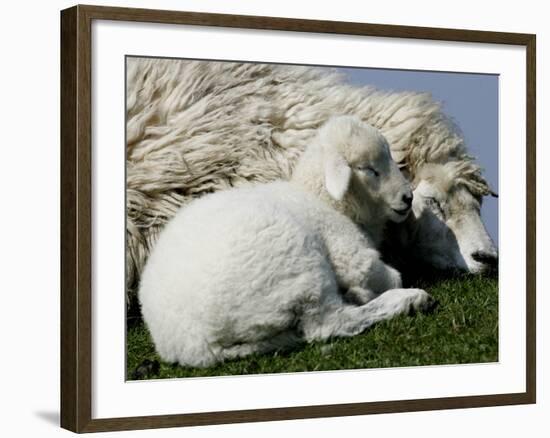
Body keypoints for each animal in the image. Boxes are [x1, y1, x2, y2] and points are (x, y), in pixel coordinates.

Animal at [140, 116, 438, 366]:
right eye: (369, 169)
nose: (407, 198)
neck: (325, 200)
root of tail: (196, 345)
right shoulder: (347, 250)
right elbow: (383, 274)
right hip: (300, 267)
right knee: (330, 324)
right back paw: (408, 299)